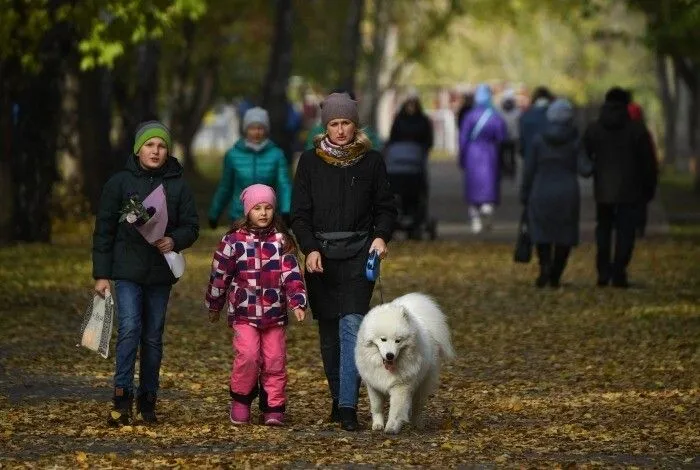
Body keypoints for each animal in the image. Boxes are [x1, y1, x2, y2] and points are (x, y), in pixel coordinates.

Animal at [356, 292, 454, 436]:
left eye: (398, 341)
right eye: (383, 339)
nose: (390, 355)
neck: (387, 369)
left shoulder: (400, 387)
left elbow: (396, 410)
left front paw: (391, 427)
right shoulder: (373, 385)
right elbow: (377, 406)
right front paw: (378, 424)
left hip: (421, 385)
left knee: (417, 407)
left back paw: (417, 424)